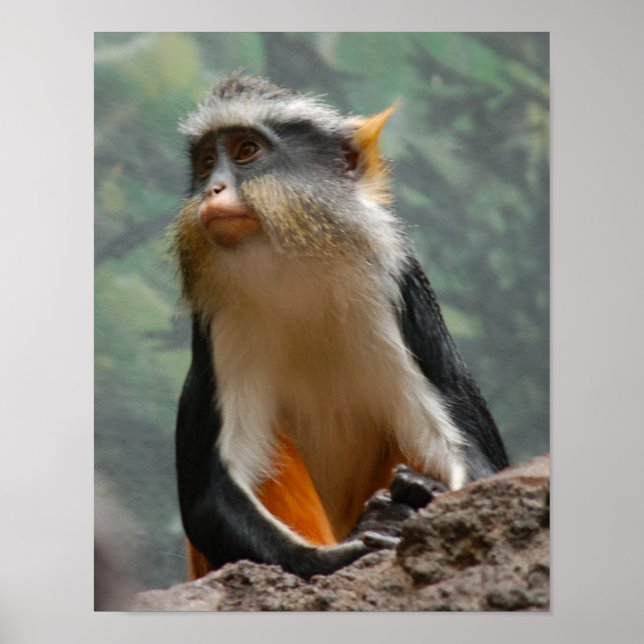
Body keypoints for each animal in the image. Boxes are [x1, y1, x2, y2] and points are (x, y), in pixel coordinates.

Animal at [172, 74, 509, 581]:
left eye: (247, 150)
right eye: (207, 161)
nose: (214, 188)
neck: (294, 259)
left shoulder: (401, 291)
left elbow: (486, 465)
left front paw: (421, 497)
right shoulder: (216, 323)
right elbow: (209, 495)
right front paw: (345, 554)